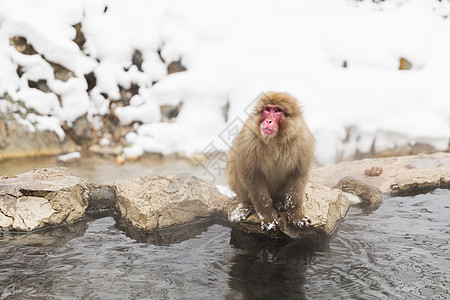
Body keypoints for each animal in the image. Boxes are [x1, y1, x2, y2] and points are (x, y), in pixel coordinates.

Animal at [227, 91, 314, 230]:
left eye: (278, 110)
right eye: (267, 109)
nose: (269, 121)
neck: (275, 140)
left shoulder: (302, 141)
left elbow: (298, 176)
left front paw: (296, 214)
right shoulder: (248, 141)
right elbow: (253, 179)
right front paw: (268, 217)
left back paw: (280, 202)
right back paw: (247, 205)